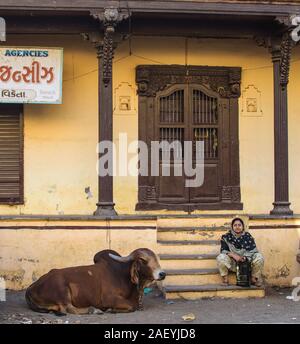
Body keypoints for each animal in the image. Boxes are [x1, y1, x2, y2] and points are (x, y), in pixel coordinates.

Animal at [25, 247, 166, 314]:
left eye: (156, 259)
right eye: (143, 260)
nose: (162, 274)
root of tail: (31, 287)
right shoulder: (108, 298)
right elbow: (131, 306)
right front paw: (110, 310)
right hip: (62, 290)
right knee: (68, 309)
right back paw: (93, 310)